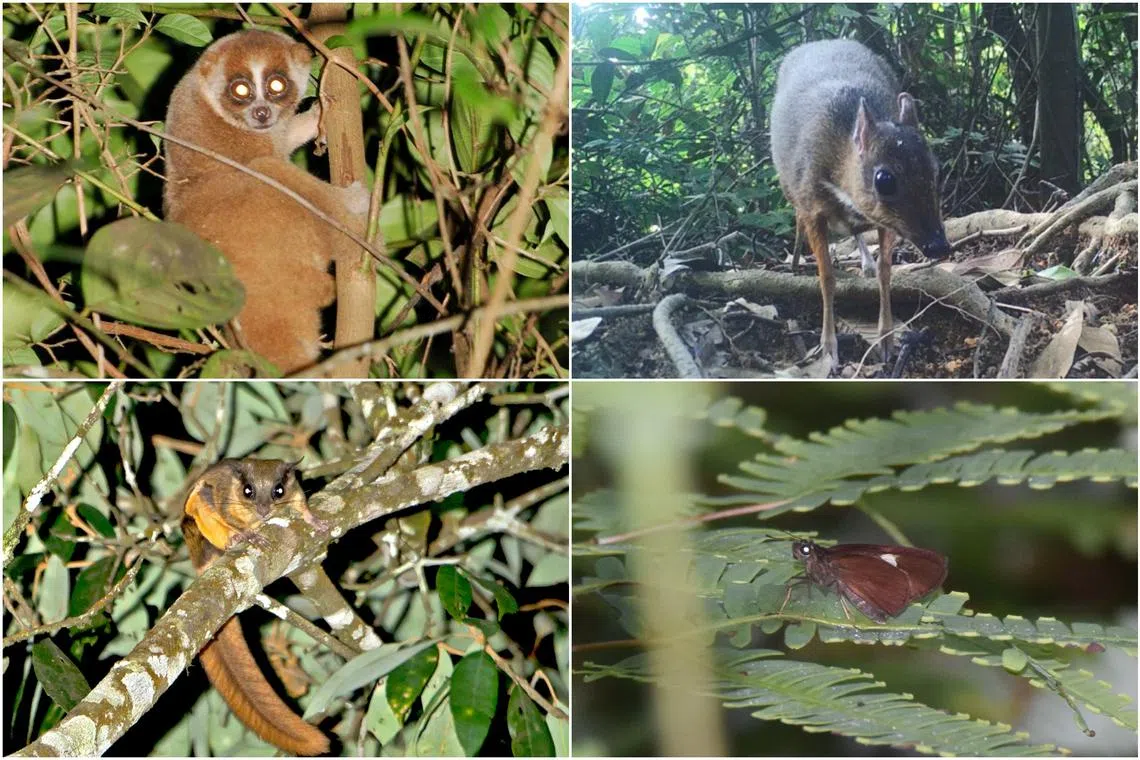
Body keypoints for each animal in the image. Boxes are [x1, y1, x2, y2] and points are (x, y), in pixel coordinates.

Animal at [163, 29, 368, 374]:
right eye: (241, 89)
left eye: (276, 85)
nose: (261, 112)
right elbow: (274, 161)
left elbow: (284, 138)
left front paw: (316, 115)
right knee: (270, 170)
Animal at [181, 458, 330, 756]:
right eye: (248, 491)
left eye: (278, 490)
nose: (263, 510)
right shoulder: (223, 496)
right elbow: (225, 513)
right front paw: (246, 534)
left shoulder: (296, 492)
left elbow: (302, 505)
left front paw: (314, 520)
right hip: (198, 520)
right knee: (202, 502)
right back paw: (234, 540)